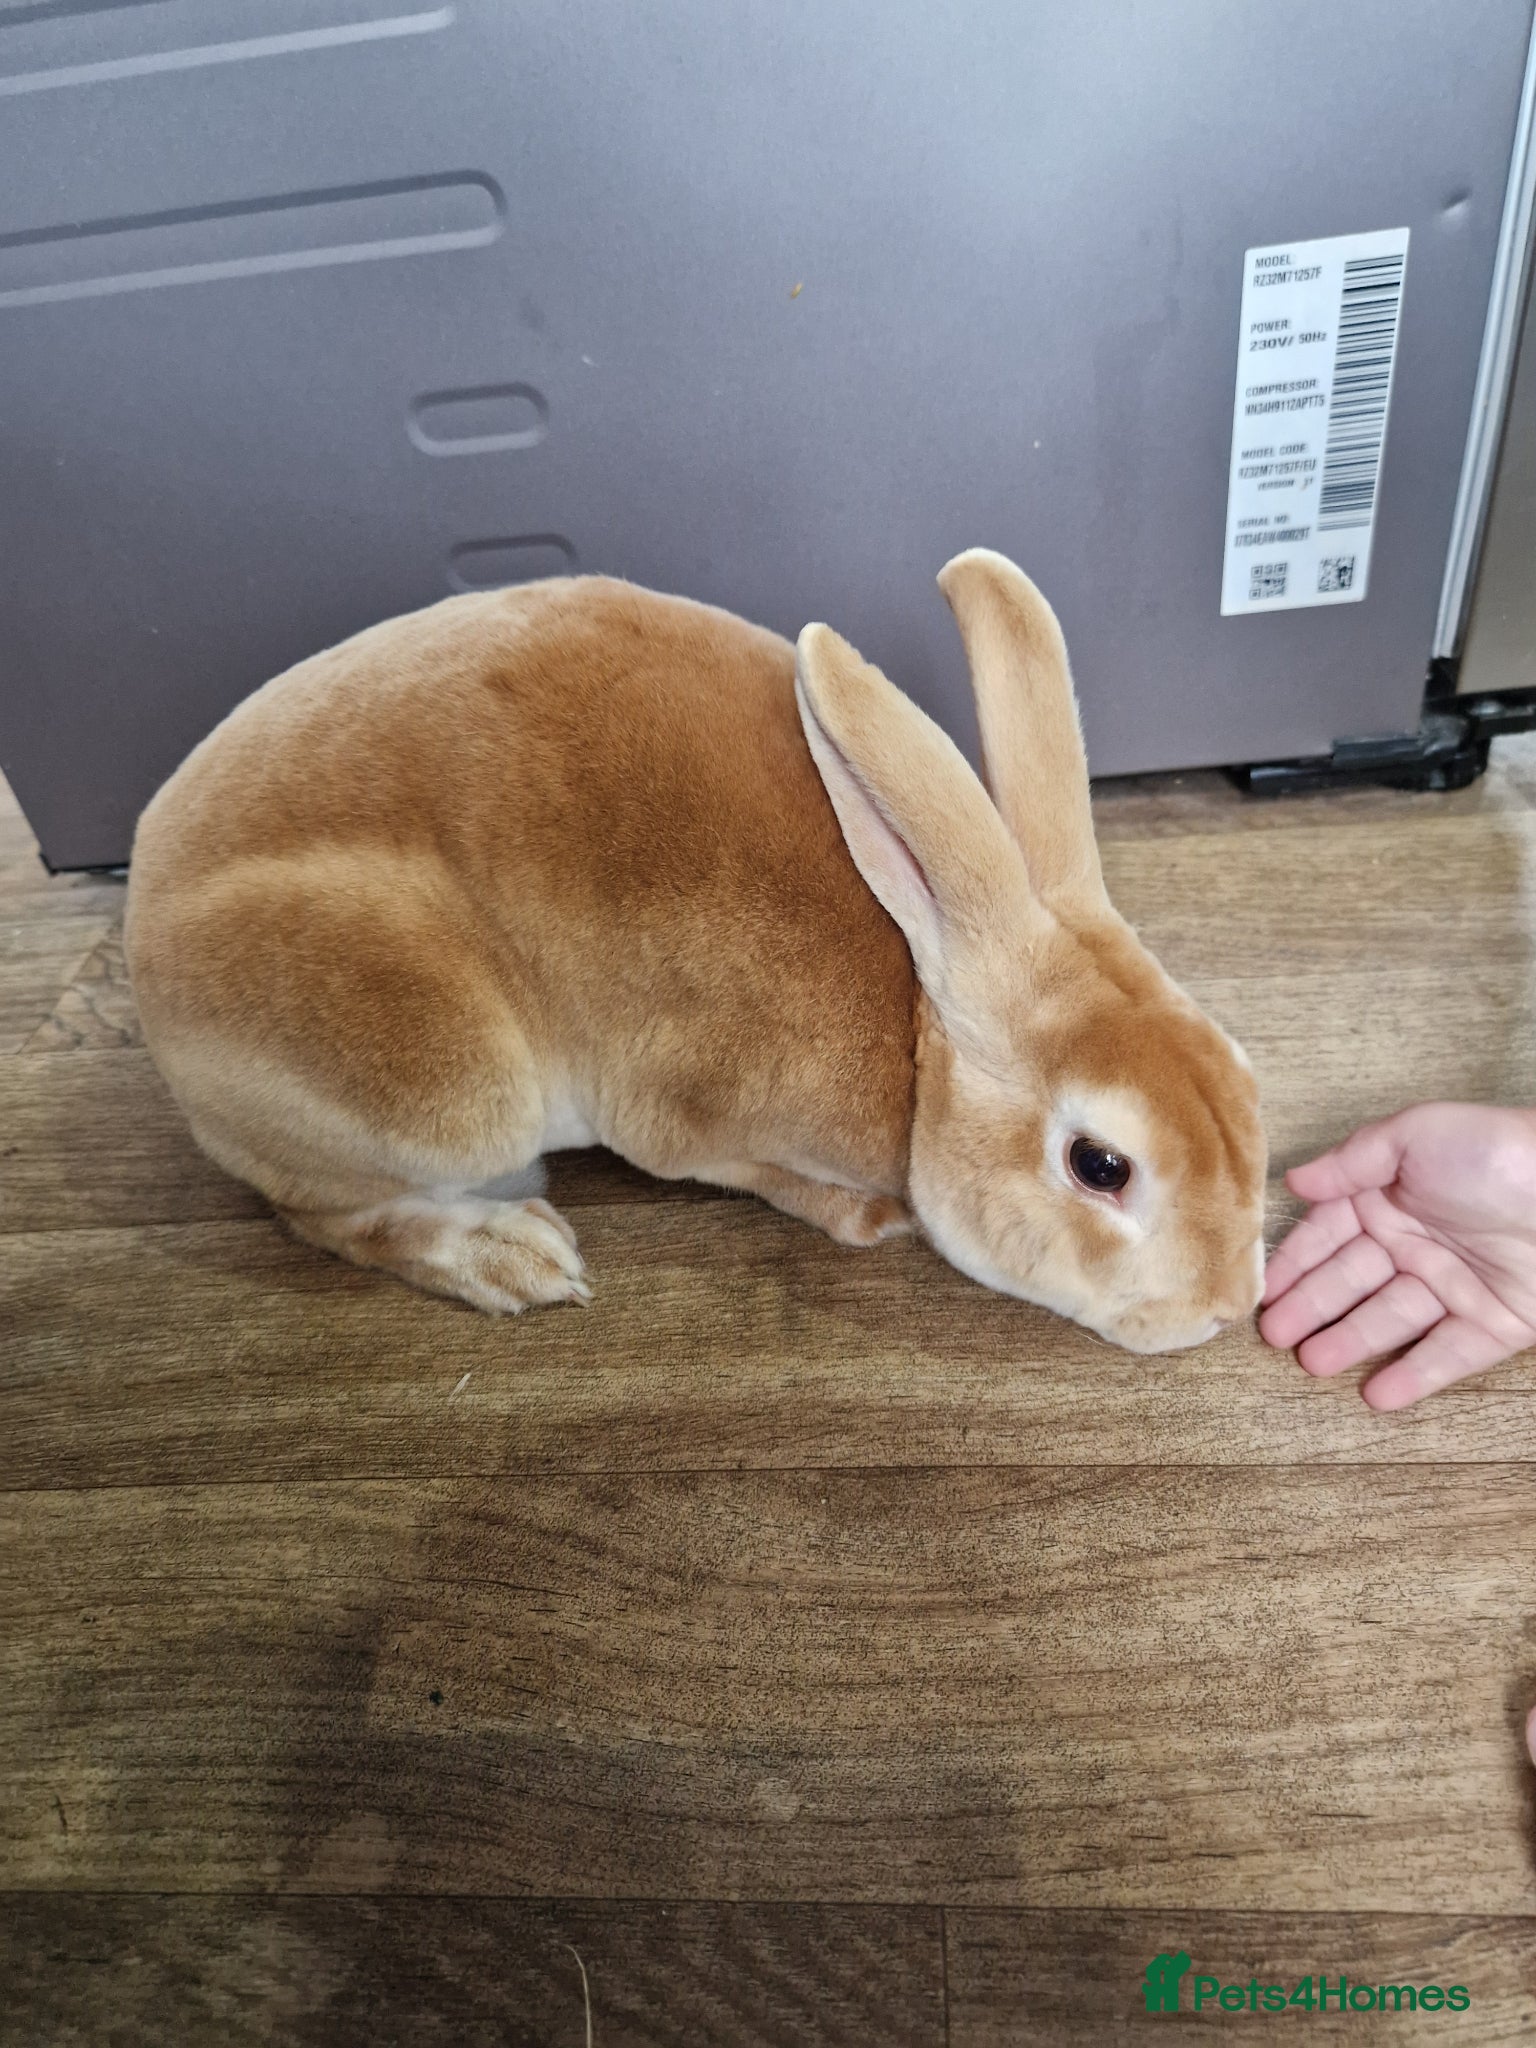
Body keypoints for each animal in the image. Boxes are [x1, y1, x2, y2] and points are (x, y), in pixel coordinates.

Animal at [124, 548, 1266, 1352]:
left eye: (1246, 1083)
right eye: (1100, 1165)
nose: (1227, 1307)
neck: (918, 1043)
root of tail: (141, 930)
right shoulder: (678, 1114)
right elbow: (732, 1167)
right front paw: (868, 1213)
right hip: (445, 1083)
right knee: (320, 1211)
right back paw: (509, 1255)